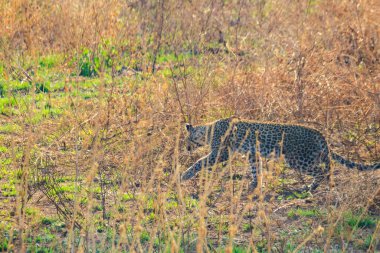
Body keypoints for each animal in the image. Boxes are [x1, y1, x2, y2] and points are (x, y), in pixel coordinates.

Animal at [182, 117, 380, 193]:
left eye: (187, 139)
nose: (185, 147)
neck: (207, 131)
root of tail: (318, 133)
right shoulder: (253, 154)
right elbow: (256, 169)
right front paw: (253, 185)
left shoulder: (221, 153)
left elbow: (200, 162)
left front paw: (184, 175)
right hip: (311, 156)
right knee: (327, 168)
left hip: (299, 160)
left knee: (321, 171)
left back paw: (310, 188)